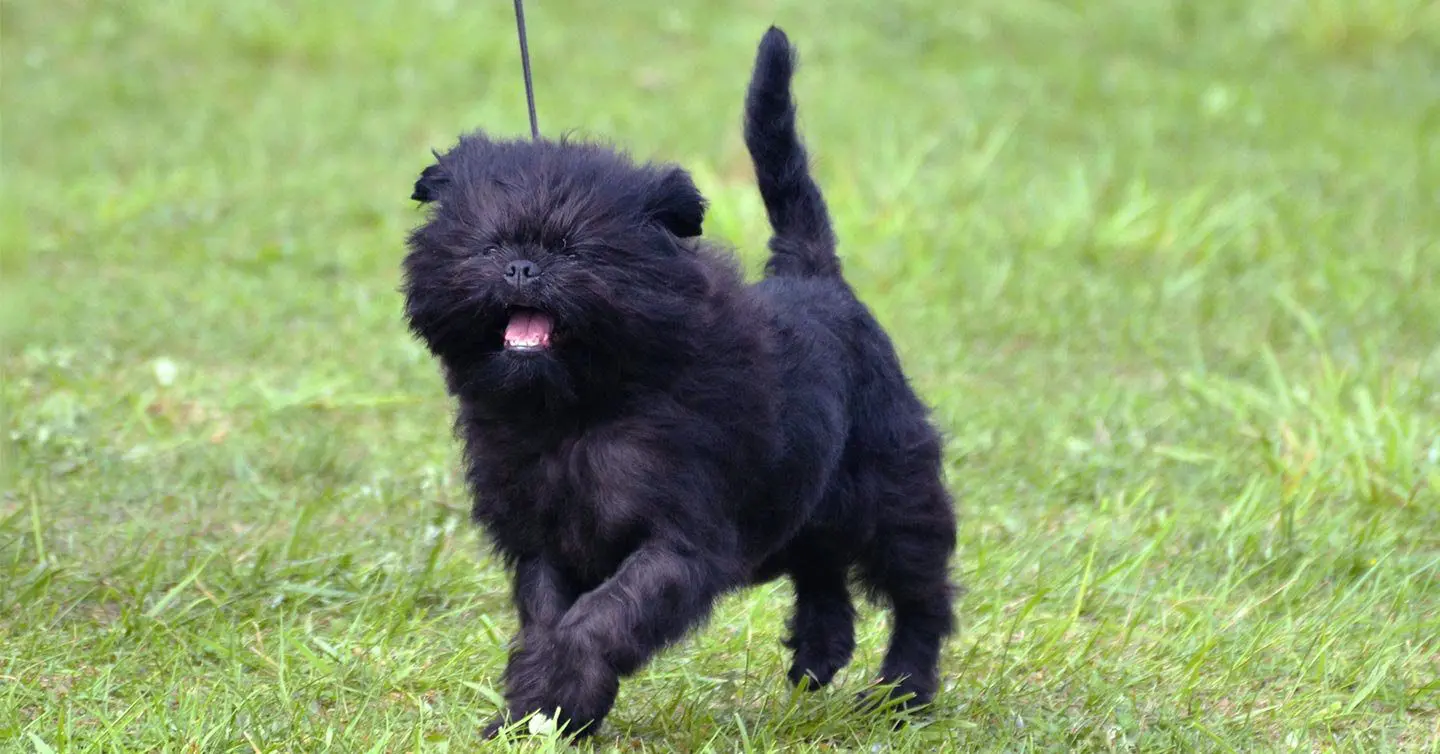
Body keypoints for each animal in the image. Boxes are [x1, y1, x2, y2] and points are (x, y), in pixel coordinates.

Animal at [400, 28, 956, 736]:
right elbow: (547, 621)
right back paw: (818, 654)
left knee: (920, 594)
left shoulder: (678, 542)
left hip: (893, 491)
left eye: (576, 250)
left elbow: (599, 619)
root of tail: (814, 274)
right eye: (487, 246)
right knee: (822, 568)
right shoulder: (545, 544)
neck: (576, 410)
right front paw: (536, 715)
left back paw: (903, 694)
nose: (523, 266)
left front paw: (554, 698)